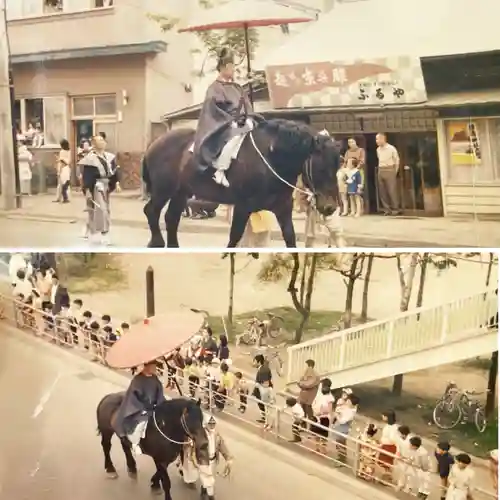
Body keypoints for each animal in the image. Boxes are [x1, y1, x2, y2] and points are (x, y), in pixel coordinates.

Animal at [143, 117, 342, 250]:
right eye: (321, 168)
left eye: (338, 166)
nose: (330, 207)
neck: (271, 158)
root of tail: (153, 145)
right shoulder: (243, 206)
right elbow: (234, 237)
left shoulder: (283, 208)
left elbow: (290, 238)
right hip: (163, 190)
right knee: (151, 211)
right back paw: (157, 243)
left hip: (180, 192)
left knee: (171, 217)